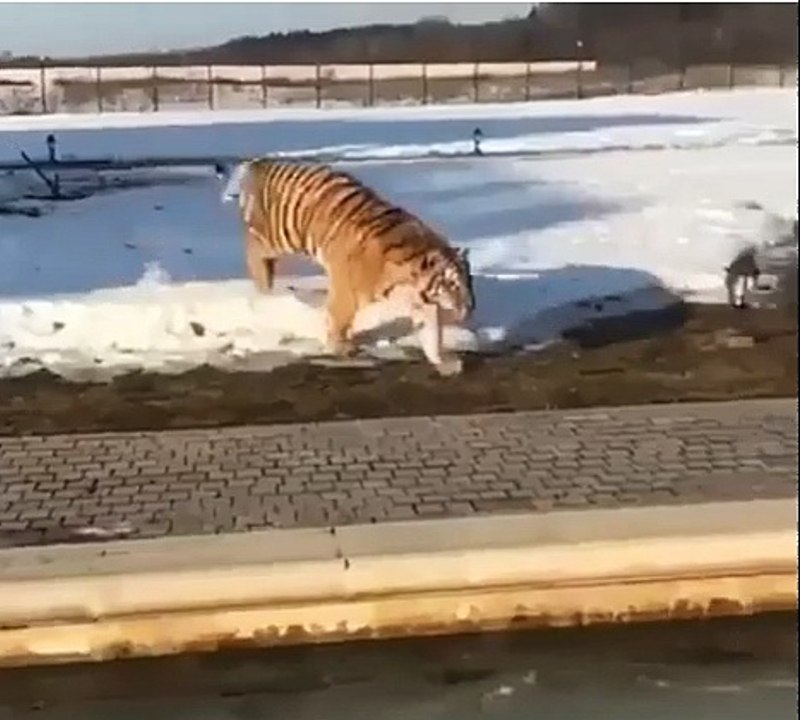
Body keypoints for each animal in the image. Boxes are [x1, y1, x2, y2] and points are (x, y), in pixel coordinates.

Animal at [221, 158, 476, 376]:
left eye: (469, 281)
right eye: (453, 284)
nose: (471, 307)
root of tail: (261, 163)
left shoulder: (424, 304)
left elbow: (432, 334)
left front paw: (443, 362)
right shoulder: (347, 290)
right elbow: (339, 317)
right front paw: (339, 347)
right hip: (281, 236)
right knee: (255, 250)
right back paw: (264, 289)